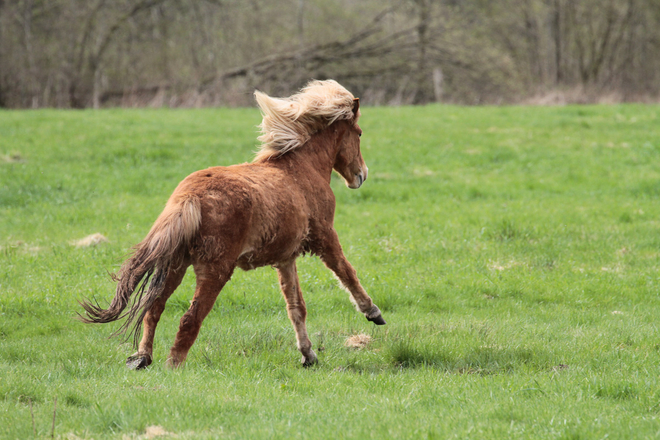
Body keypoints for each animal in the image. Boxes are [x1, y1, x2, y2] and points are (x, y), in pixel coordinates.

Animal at [79, 79, 384, 368]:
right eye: (358, 133)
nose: (362, 175)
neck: (302, 169)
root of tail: (189, 198)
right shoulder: (325, 237)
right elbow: (346, 272)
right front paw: (373, 312)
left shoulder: (285, 259)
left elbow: (296, 306)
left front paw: (308, 354)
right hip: (215, 270)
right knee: (189, 319)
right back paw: (172, 366)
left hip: (175, 265)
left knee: (154, 308)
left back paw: (142, 357)